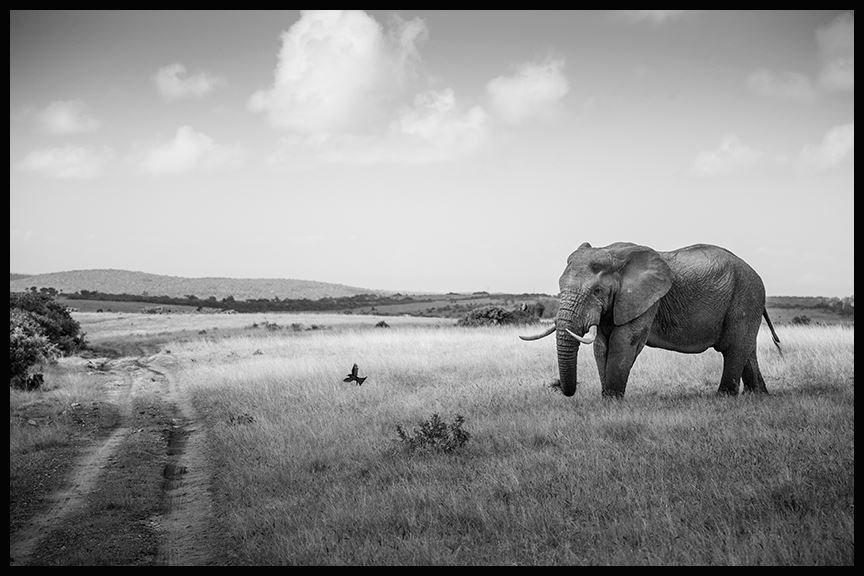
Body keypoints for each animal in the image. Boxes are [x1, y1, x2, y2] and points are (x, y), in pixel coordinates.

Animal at [520, 242, 784, 396]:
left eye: (597, 291)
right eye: (559, 286)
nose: (556, 386)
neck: (613, 253)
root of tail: (755, 273)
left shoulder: (646, 299)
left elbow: (624, 341)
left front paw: (612, 401)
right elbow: (601, 345)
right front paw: (606, 400)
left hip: (747, 296)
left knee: (734, 348)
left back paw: (723, 398)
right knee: (746, 349)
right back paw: (757, 396)